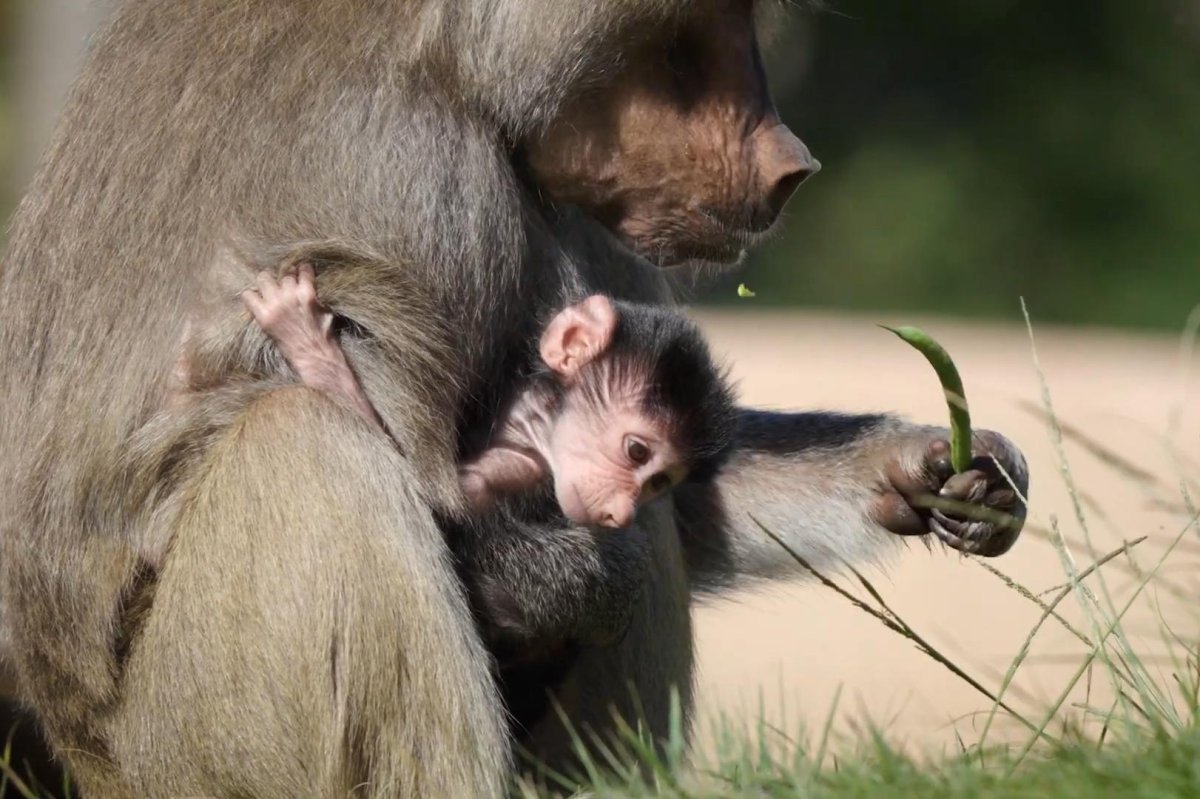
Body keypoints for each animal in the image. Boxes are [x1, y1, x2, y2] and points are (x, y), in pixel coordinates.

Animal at [0, 1, 1029, 797]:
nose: (791, 164)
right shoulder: (416, 180)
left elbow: (688, 500)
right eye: (687, 39)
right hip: (191, 745)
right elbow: (436, 490)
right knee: (310, 447)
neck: (448, 56)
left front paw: (929, 468)